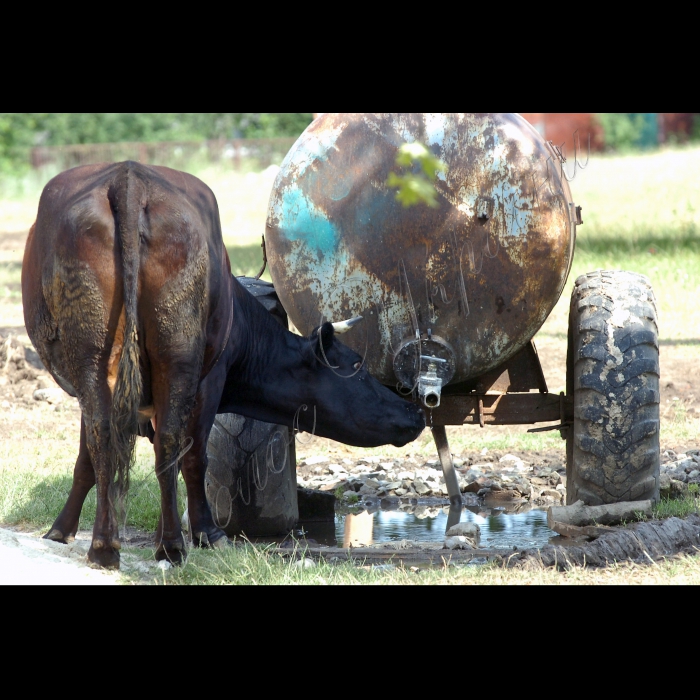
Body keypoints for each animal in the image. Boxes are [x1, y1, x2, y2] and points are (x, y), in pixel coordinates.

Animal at [21, 163, 424, 568]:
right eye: (357, 365)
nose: (414, 410)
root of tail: (129, 175)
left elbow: (88, 461)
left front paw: (61, 529)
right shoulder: (211, 381)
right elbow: (191, 457)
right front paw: (202, 533)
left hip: (95, 355)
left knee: (106, 437)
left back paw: (106, 547)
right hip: (179, 357)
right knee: (175, 447)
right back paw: (176, 543)